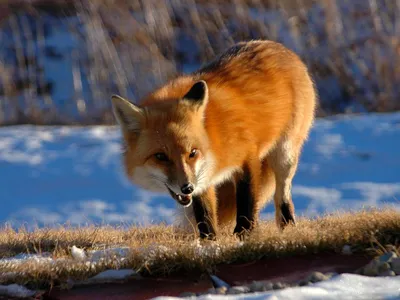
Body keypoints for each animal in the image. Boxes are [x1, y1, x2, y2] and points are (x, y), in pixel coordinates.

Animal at [111, 39, 316, 240]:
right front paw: (209, 241)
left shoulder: (247, 158)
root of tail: (278, 46)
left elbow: (247, 202)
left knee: (283, 193)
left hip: (284, 155)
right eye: (160, 156)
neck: (211, 136)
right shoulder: (203, 177)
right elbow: (205, 214)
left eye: (192, 152)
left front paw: (244, 235)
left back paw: (287, 224)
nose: (187, 188)